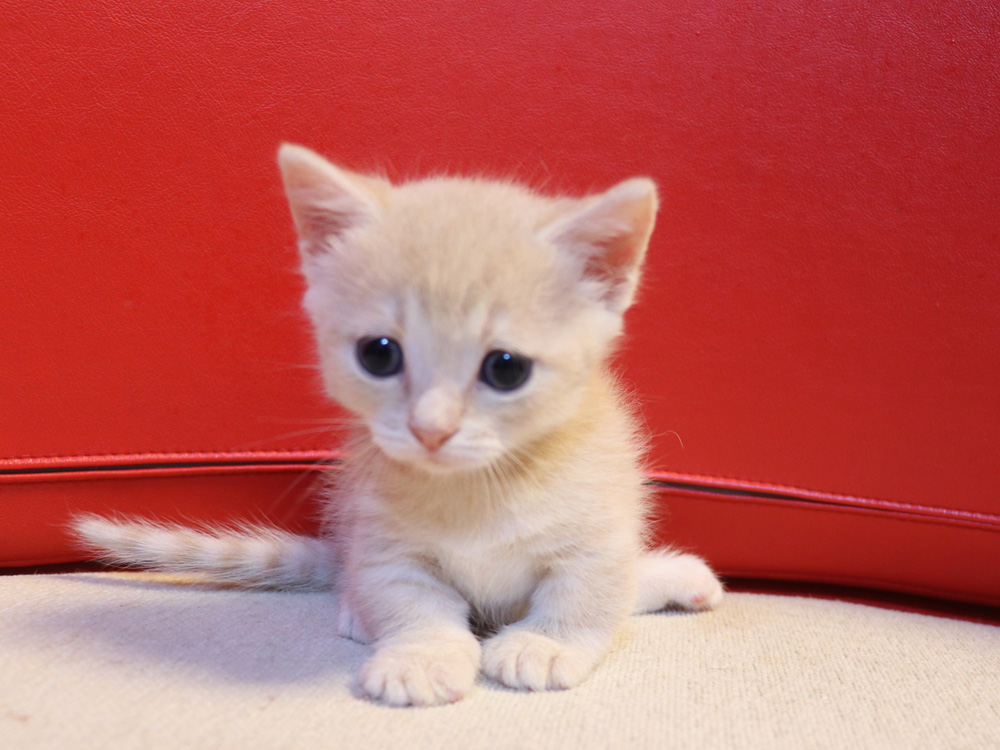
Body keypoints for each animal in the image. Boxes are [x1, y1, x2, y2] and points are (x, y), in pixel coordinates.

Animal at [74, 145, 724, 704]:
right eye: (379, 355)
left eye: (506, 368)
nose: (429, 429)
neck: (478, 488)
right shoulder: (385, 540)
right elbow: (415, 603)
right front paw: (422, 657)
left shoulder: (600, 518)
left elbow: (586, 591)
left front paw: (545, 644)